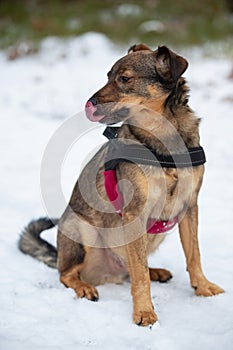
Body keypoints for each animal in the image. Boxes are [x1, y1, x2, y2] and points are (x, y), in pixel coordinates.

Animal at [18, 43, 224, 326]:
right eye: (107, 76)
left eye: (124, 79)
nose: (89, 103)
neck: (162, 140)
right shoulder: (135, 212)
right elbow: (140, 277)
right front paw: (144, 312)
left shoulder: (189, 206)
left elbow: (194, 255)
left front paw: (202, 287)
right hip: (81, 229)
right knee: (68, 274)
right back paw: (84, 286)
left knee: (133, 267)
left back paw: (155, 271)